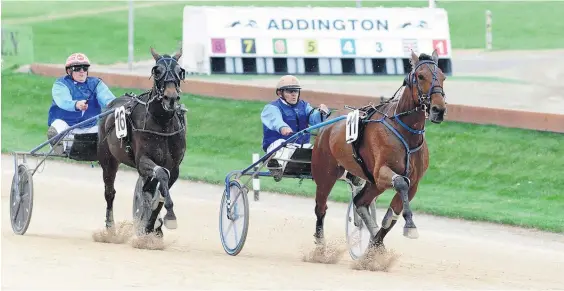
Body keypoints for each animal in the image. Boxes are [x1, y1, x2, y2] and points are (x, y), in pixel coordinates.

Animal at [98, 47, 187, 235]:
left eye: (180, 71)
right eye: (157, 71)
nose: (171, 98)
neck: (162, 124)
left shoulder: (175, 166)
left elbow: (160, 191)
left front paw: (150, 225)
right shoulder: (142, 160)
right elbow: (161, 174)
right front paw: (169, 216)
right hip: (108, 159)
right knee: (109, 192)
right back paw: (110, 227)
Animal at [310, 49, 448, 253]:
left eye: (443, 76)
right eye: (421, 76)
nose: (439, 109)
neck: (405, 131)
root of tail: (329, 122)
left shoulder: (413, 182)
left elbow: (391, 217)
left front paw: (375, 245)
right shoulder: (382, 171)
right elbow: (400, 183)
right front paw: (410, 226)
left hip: (373, 183)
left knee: (360, 202)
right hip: (326, 172)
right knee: (321, 207)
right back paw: (320, 245)